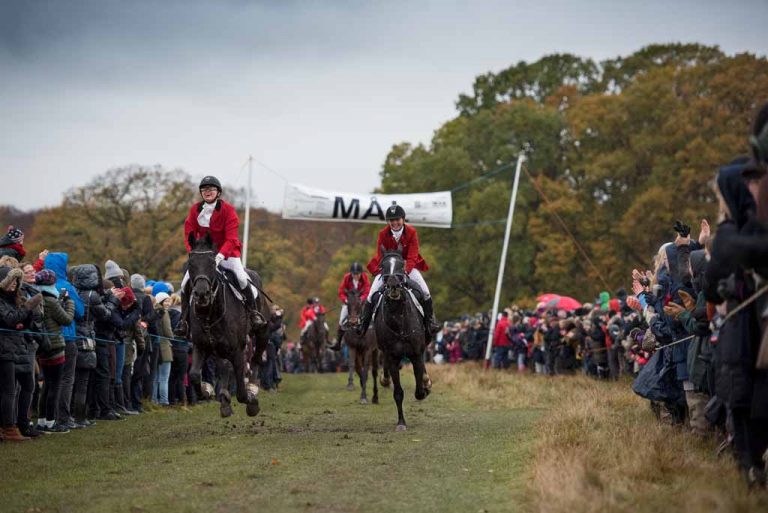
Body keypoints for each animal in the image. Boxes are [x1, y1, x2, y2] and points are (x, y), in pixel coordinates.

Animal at [185, 232, 270, 416]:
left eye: (212, 262)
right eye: (191, 263)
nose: (201, 294)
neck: (211, 313)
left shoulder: (238, 349)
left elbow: (242, 393)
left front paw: (251, 401)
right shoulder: (201, 345)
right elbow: (194, 374)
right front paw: (207, 390)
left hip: (262, 332)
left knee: (256, 358)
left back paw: (252, 387)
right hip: (219, 348)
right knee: (224, 367)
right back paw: (224, 398)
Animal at [374, 250, 432, 430]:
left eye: (401, 265)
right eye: (383, 265)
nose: (393, 285)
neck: (399, 321)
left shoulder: (415, 354)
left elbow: (419, 389)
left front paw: (424, 389)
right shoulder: (393, 357)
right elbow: (398, 393)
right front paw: (401, 423)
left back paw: (426, 382)